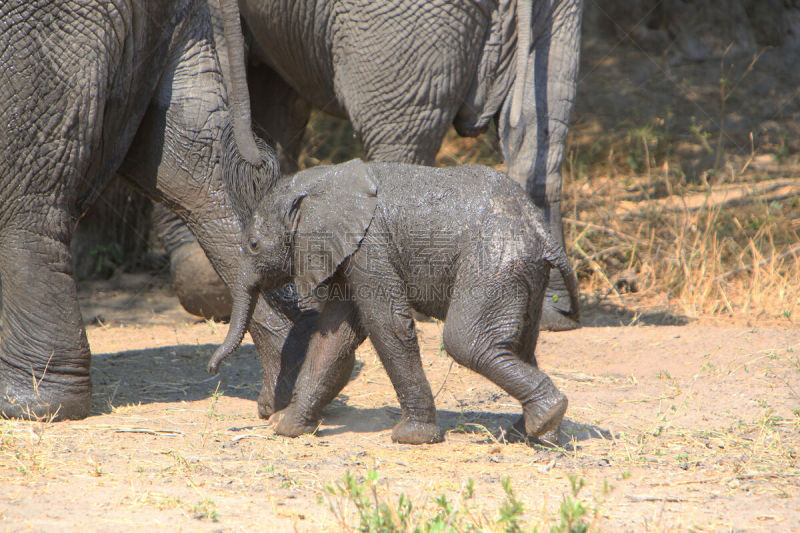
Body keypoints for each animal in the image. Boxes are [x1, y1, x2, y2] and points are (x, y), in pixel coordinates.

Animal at [0, 1, 332, 420]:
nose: (212, 369)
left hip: (44, 30)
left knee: (28, 192)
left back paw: (34, 404)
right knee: (197, 165)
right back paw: (292, 389)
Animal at [209, 159, 580, 444]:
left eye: (253, 245)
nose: (212, 369)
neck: (324, 180)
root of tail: (540, 229)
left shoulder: (370, 246)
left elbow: (387, 323)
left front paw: (412, 438)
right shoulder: (350, 254)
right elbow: (334, 338)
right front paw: (287, 427)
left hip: (493, 261)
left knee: (468, 342)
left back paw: (544, 419)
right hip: (523, 273)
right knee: (520, 346)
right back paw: (531, 434)